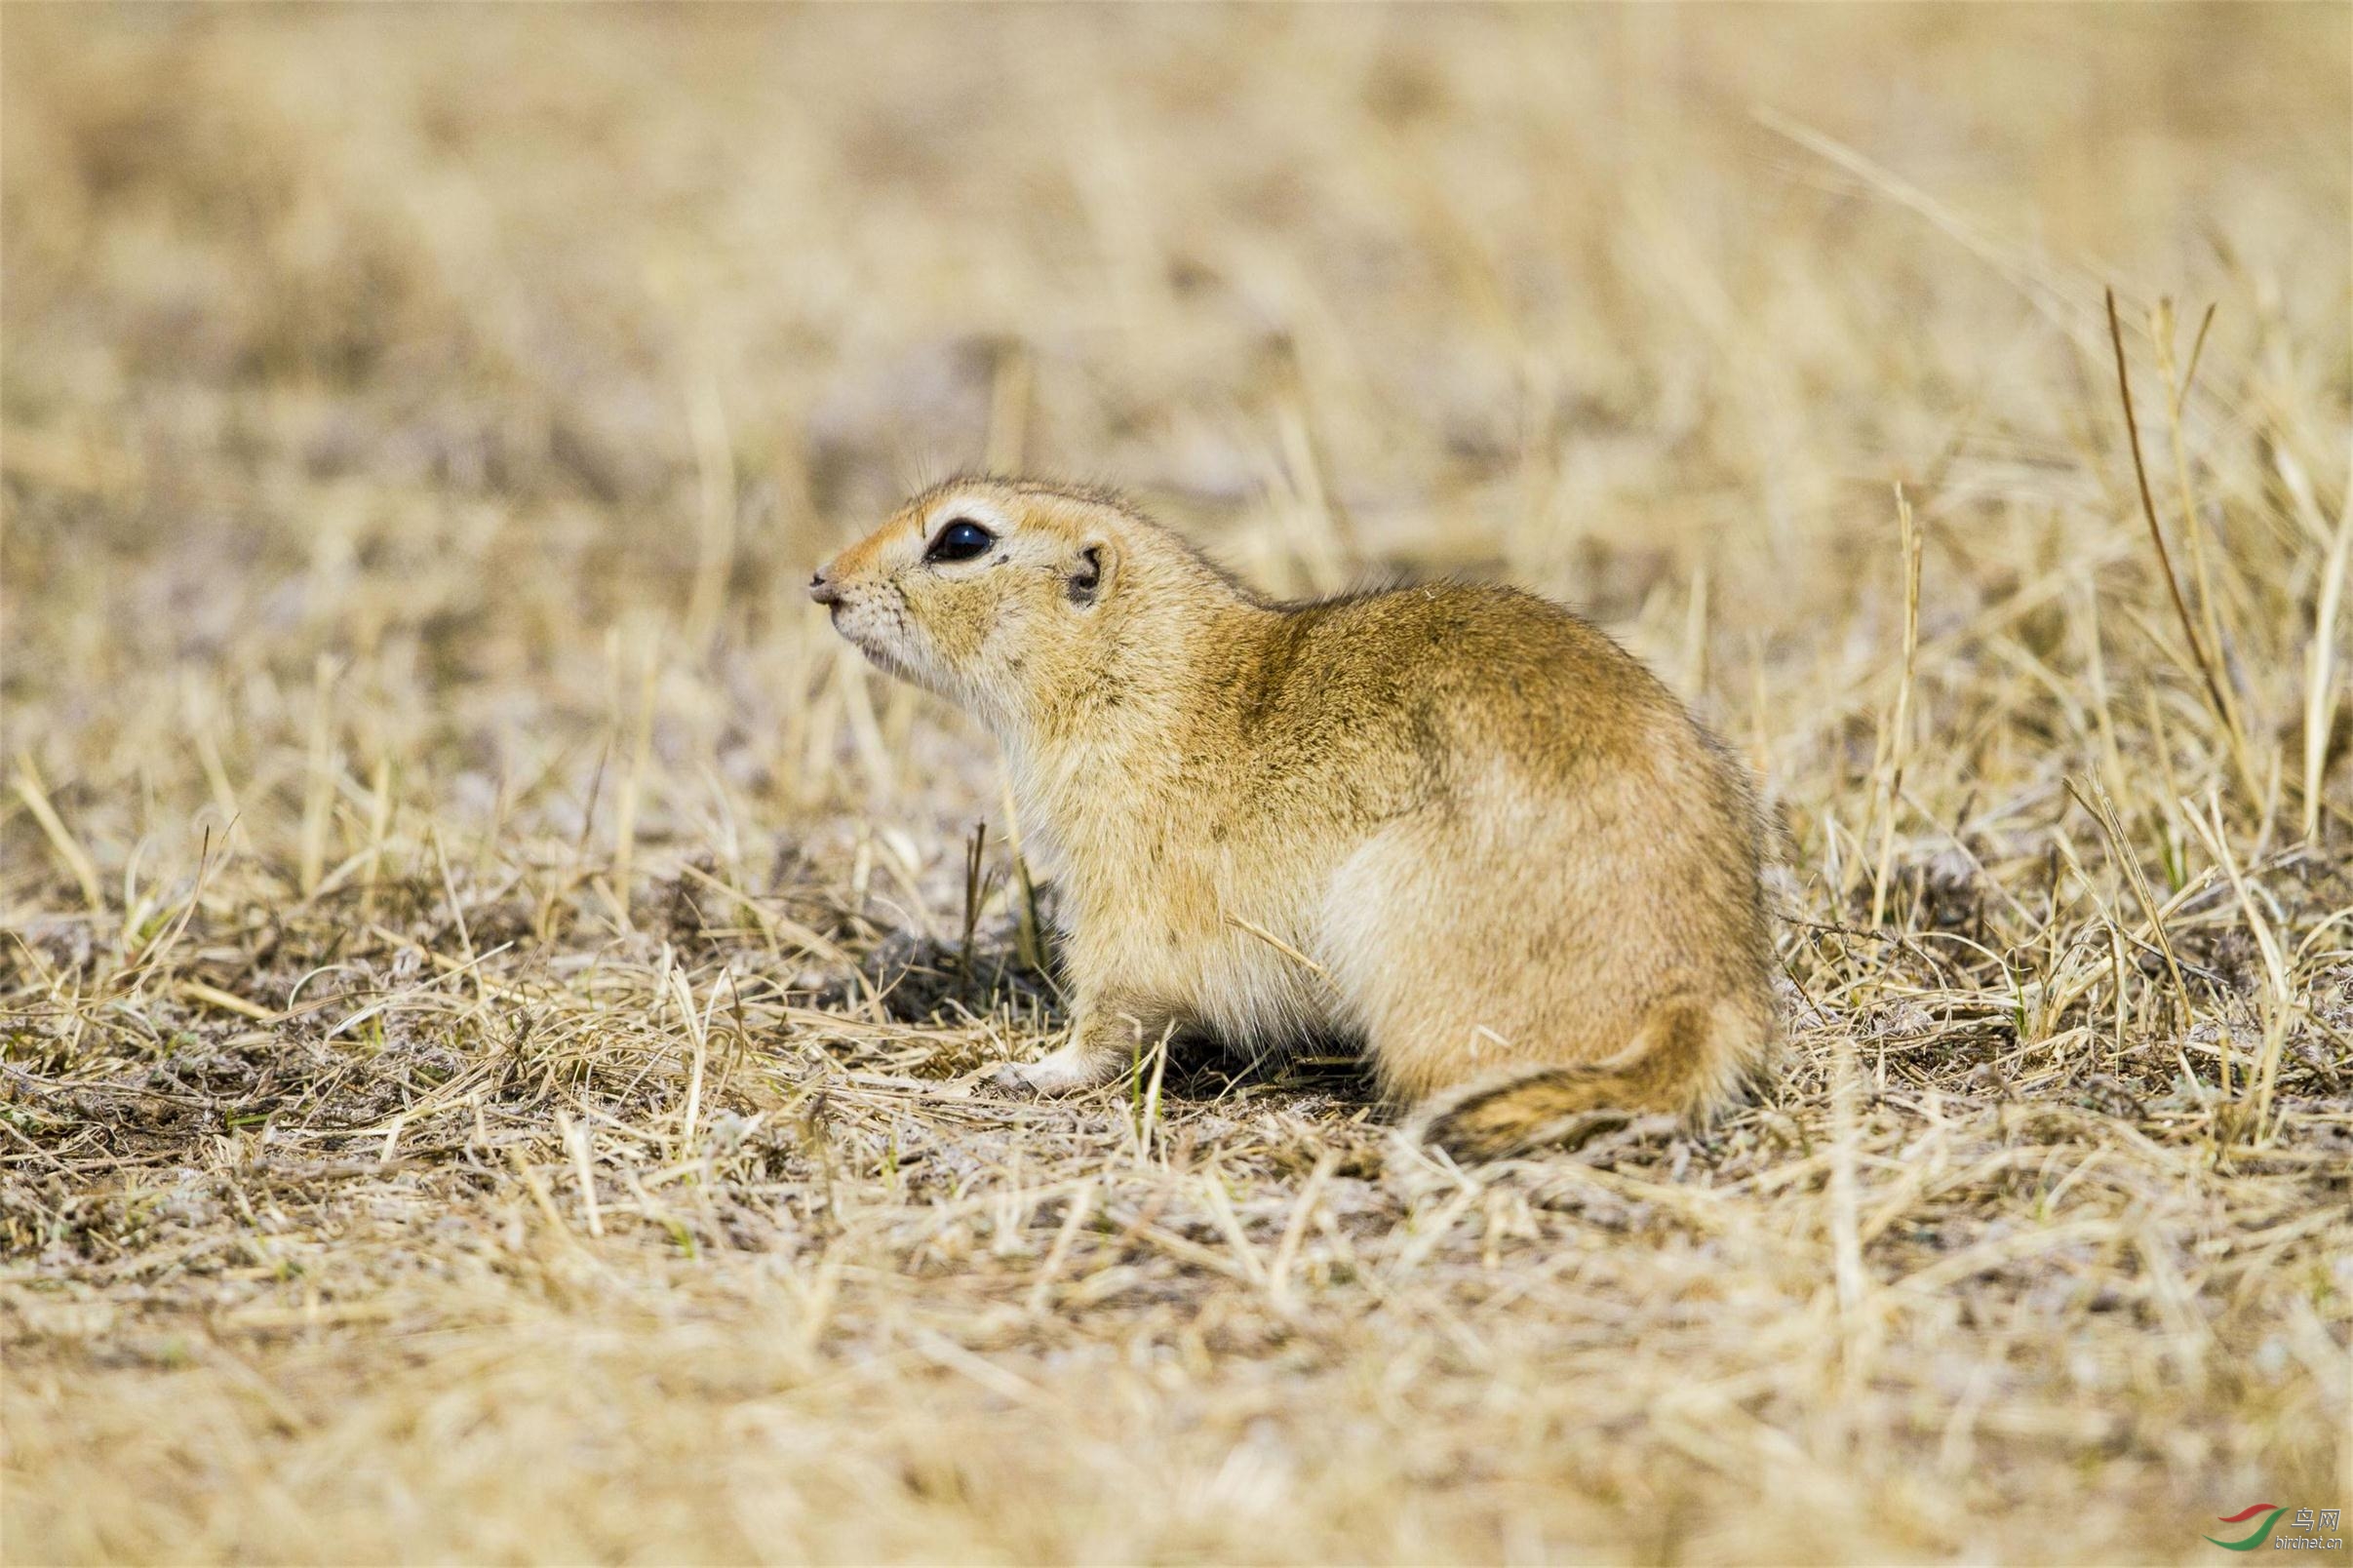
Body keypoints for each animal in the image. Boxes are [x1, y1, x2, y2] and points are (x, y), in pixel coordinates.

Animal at [804, 473, 1769, 1149]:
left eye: (961, 539)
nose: (820, 580)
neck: (1143, 665)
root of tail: (1699, 1002)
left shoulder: (1120, 886)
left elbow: (1111, 1005)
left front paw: (1031, 1071)